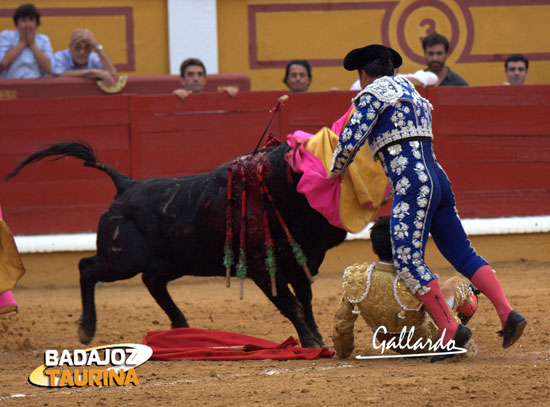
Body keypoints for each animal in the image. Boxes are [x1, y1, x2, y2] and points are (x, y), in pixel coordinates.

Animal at [5, 142, 350, 350]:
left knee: (152, 282)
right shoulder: (262, 269)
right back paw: (87, 329)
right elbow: (291, 304)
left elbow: (306, 302)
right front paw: (310, 342)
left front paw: (318, 338)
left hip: (172, 261)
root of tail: (126, 184)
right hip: (119, 261)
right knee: (87, 268)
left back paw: (181, 328)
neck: (274, 191)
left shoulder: (298, 263)